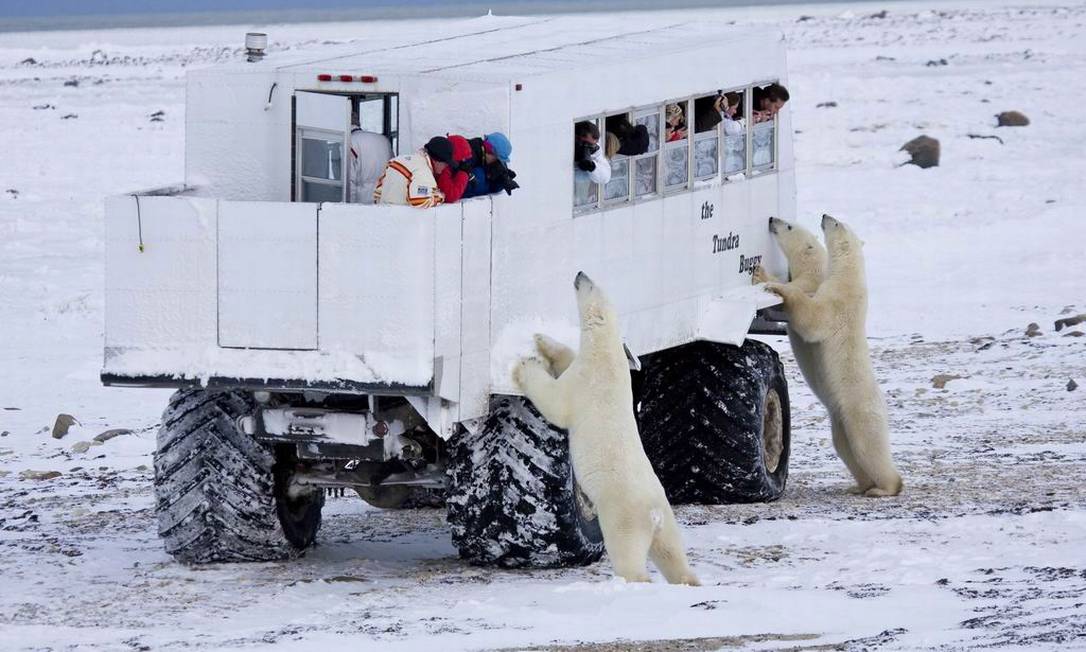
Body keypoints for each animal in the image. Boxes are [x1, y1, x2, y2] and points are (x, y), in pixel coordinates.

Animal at [512, 272, 699, 582]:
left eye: (591, 285)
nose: (579, 273)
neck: (607, 352)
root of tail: (653, 513)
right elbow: (566, 358)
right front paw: (542, 340)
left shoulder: (586, 380)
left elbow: (556, 402)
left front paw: (525, 365)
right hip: (667, 519)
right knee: (672, 553)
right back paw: (689, 582)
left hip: (623, 516)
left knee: (628, 555)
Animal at [760, 216, 903, 497]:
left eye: (789, 226)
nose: (772, 219)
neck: (849, 276)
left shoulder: (836, 300)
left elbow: (812, 318)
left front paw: (770, 282)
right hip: (840, 420)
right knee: (846, 448)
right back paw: (860, 485)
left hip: (858, 410)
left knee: (869, 446)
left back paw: (884, 488)